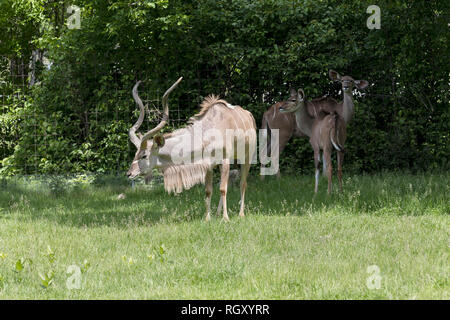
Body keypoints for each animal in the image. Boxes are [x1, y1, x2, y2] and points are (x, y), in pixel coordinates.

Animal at [127, 79, 256, 221]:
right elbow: (209, 190)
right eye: (135, 154)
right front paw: (207, 218)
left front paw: (225, 219)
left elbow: (223, 188)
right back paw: (217, 213)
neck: (208, 132)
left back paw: (241, 214)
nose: (129, 173)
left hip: (247, 157)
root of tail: (249, 116)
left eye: (144, 155)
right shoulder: (209, 165)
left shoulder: (225, 160)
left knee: (243, 183)